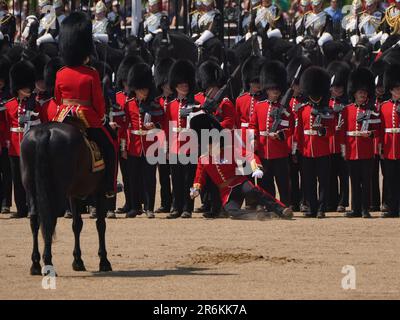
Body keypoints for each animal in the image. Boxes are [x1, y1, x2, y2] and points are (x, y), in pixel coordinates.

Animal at [21, 120, 112, 276]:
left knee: (35, 220)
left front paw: (78, 261)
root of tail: (45, 131)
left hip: (31, 188)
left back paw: (36, 265)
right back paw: (48, 264)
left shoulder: (73, 194)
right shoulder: (99, 190)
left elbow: (77, 225)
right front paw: (104, 261)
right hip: (56, 190)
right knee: (50, 220)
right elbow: (101, 224)